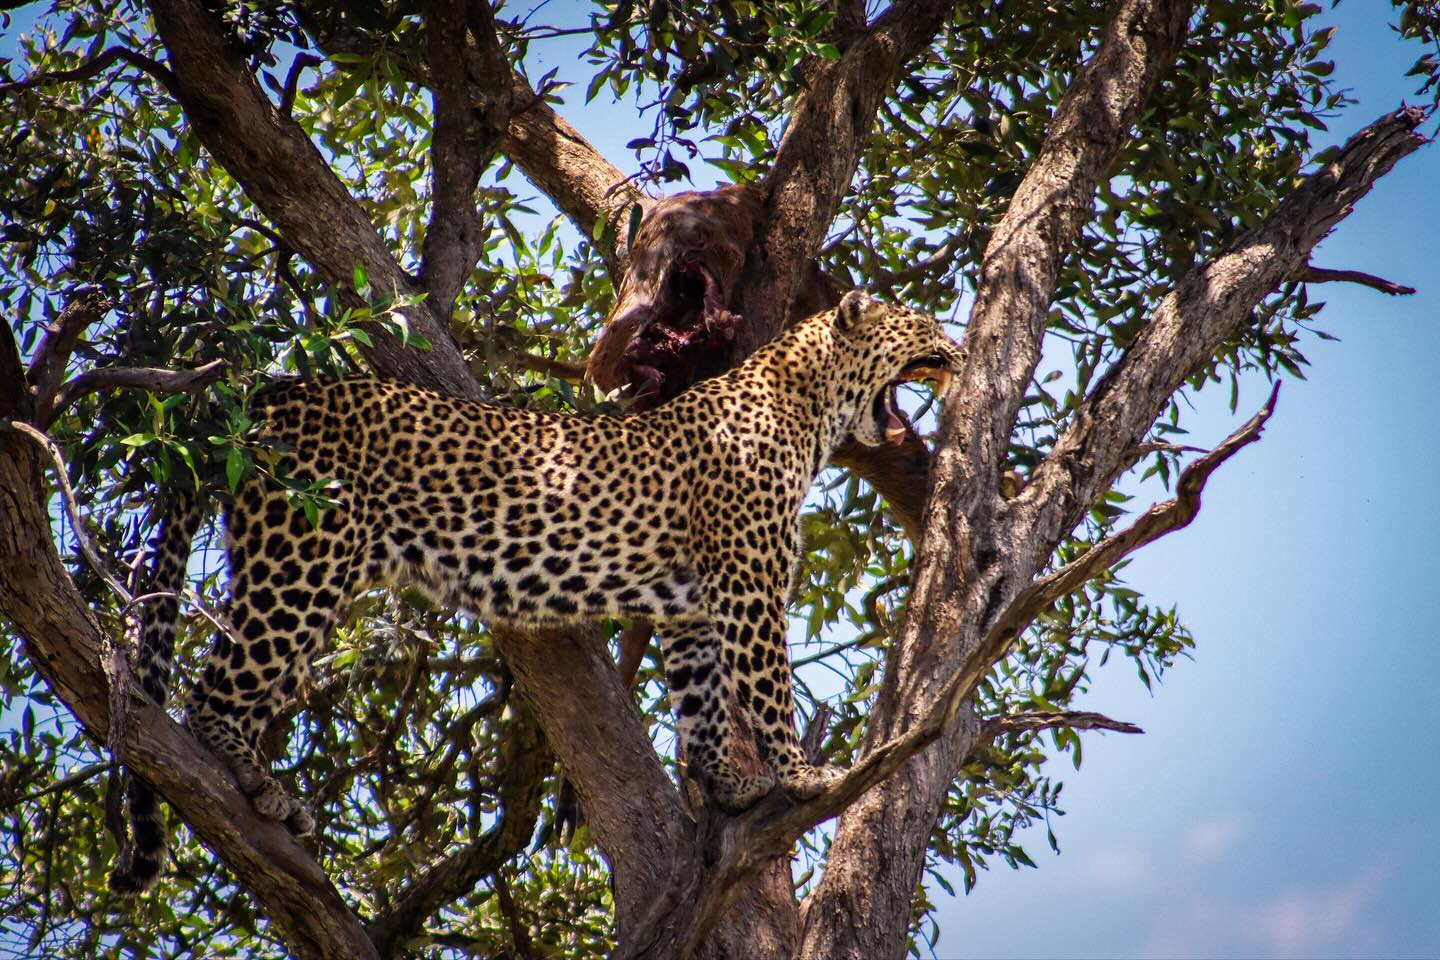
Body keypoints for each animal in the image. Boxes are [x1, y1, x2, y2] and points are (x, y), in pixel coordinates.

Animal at [109, 289, 964, 892]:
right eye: (921, 324)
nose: (958, 350)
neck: (810, 406)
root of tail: (270, 393)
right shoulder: (747, 584)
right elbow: (765, 685)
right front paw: (801, 773)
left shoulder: (692, 604)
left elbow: (702, 703)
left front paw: (729, 781)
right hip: (303, 561)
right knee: (213, 690)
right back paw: (256, 781)